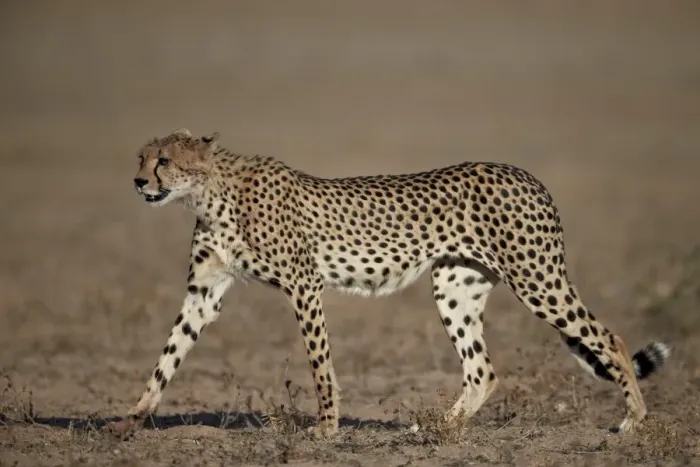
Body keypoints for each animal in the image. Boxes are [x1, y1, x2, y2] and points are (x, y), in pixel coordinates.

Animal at [116, 128, 670, 438]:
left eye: (163, 161)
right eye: (140, 158)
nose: (139, 183)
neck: (211, 192)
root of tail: (526, 175)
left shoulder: (304, 285)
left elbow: (320, 366)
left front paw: (327, 428)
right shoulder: (204, 293)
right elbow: (167, 358)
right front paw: (132, 420)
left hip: (536, 278)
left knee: (610, 338)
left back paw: (633, 420)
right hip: (455, 288)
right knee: (482, 370)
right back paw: (437, 427)